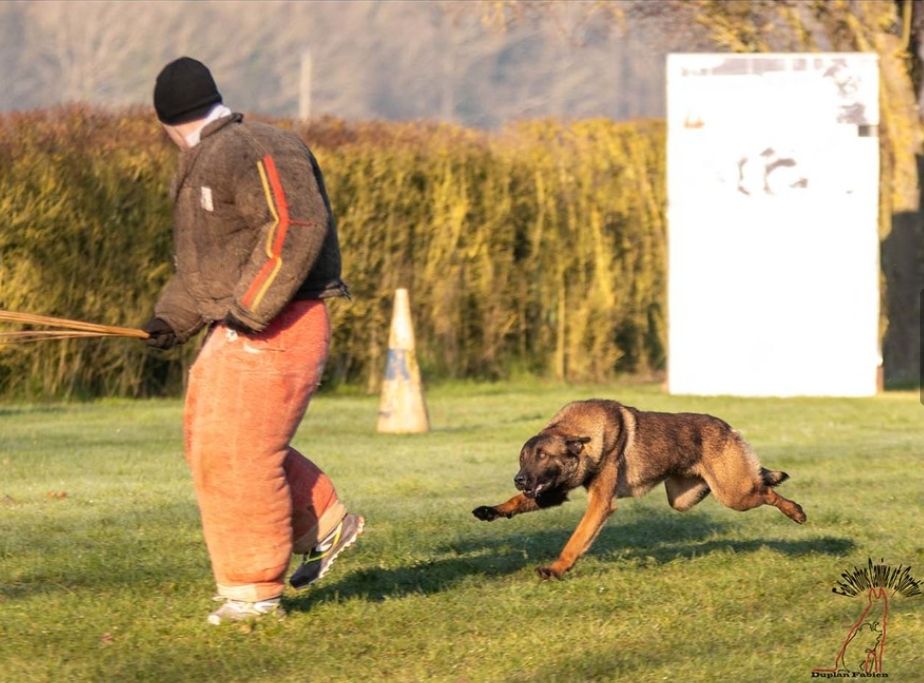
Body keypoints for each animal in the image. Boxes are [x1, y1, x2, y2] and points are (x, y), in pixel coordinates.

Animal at [472, 399, 806, 579]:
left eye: (542, 456)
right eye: (523, 459)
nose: (519, 479)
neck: (578, 436)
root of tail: (728, 427)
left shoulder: (600, 503)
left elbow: (575, 540)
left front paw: (556, 569)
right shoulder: (555, 491)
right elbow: (517, 502)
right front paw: (491, 510)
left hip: (734, 494)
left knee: (765, 490)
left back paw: (796, 511)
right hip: (685, 497)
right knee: (756, 481)